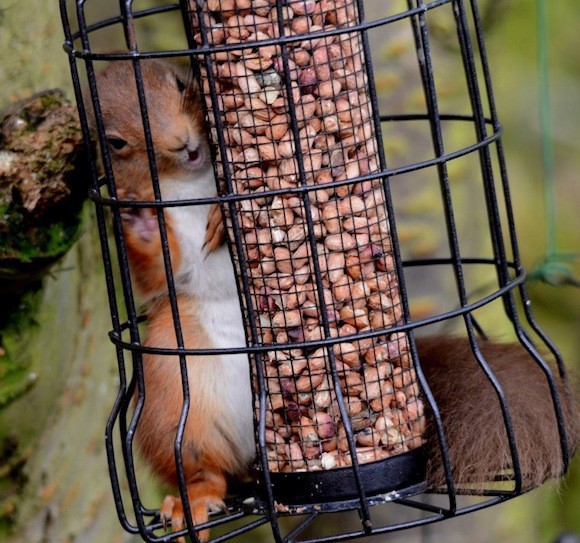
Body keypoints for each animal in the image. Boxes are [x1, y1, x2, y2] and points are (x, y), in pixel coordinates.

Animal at [88, 58, 576, 540]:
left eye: (180, 82)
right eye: (115, 143)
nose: (183, 143)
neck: (192, 183)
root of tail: (259, 462)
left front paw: (225, 216)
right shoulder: (171, 256)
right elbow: (160, 273)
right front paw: (138, 223)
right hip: (171, 390)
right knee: (202, 469)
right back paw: (192, 500)